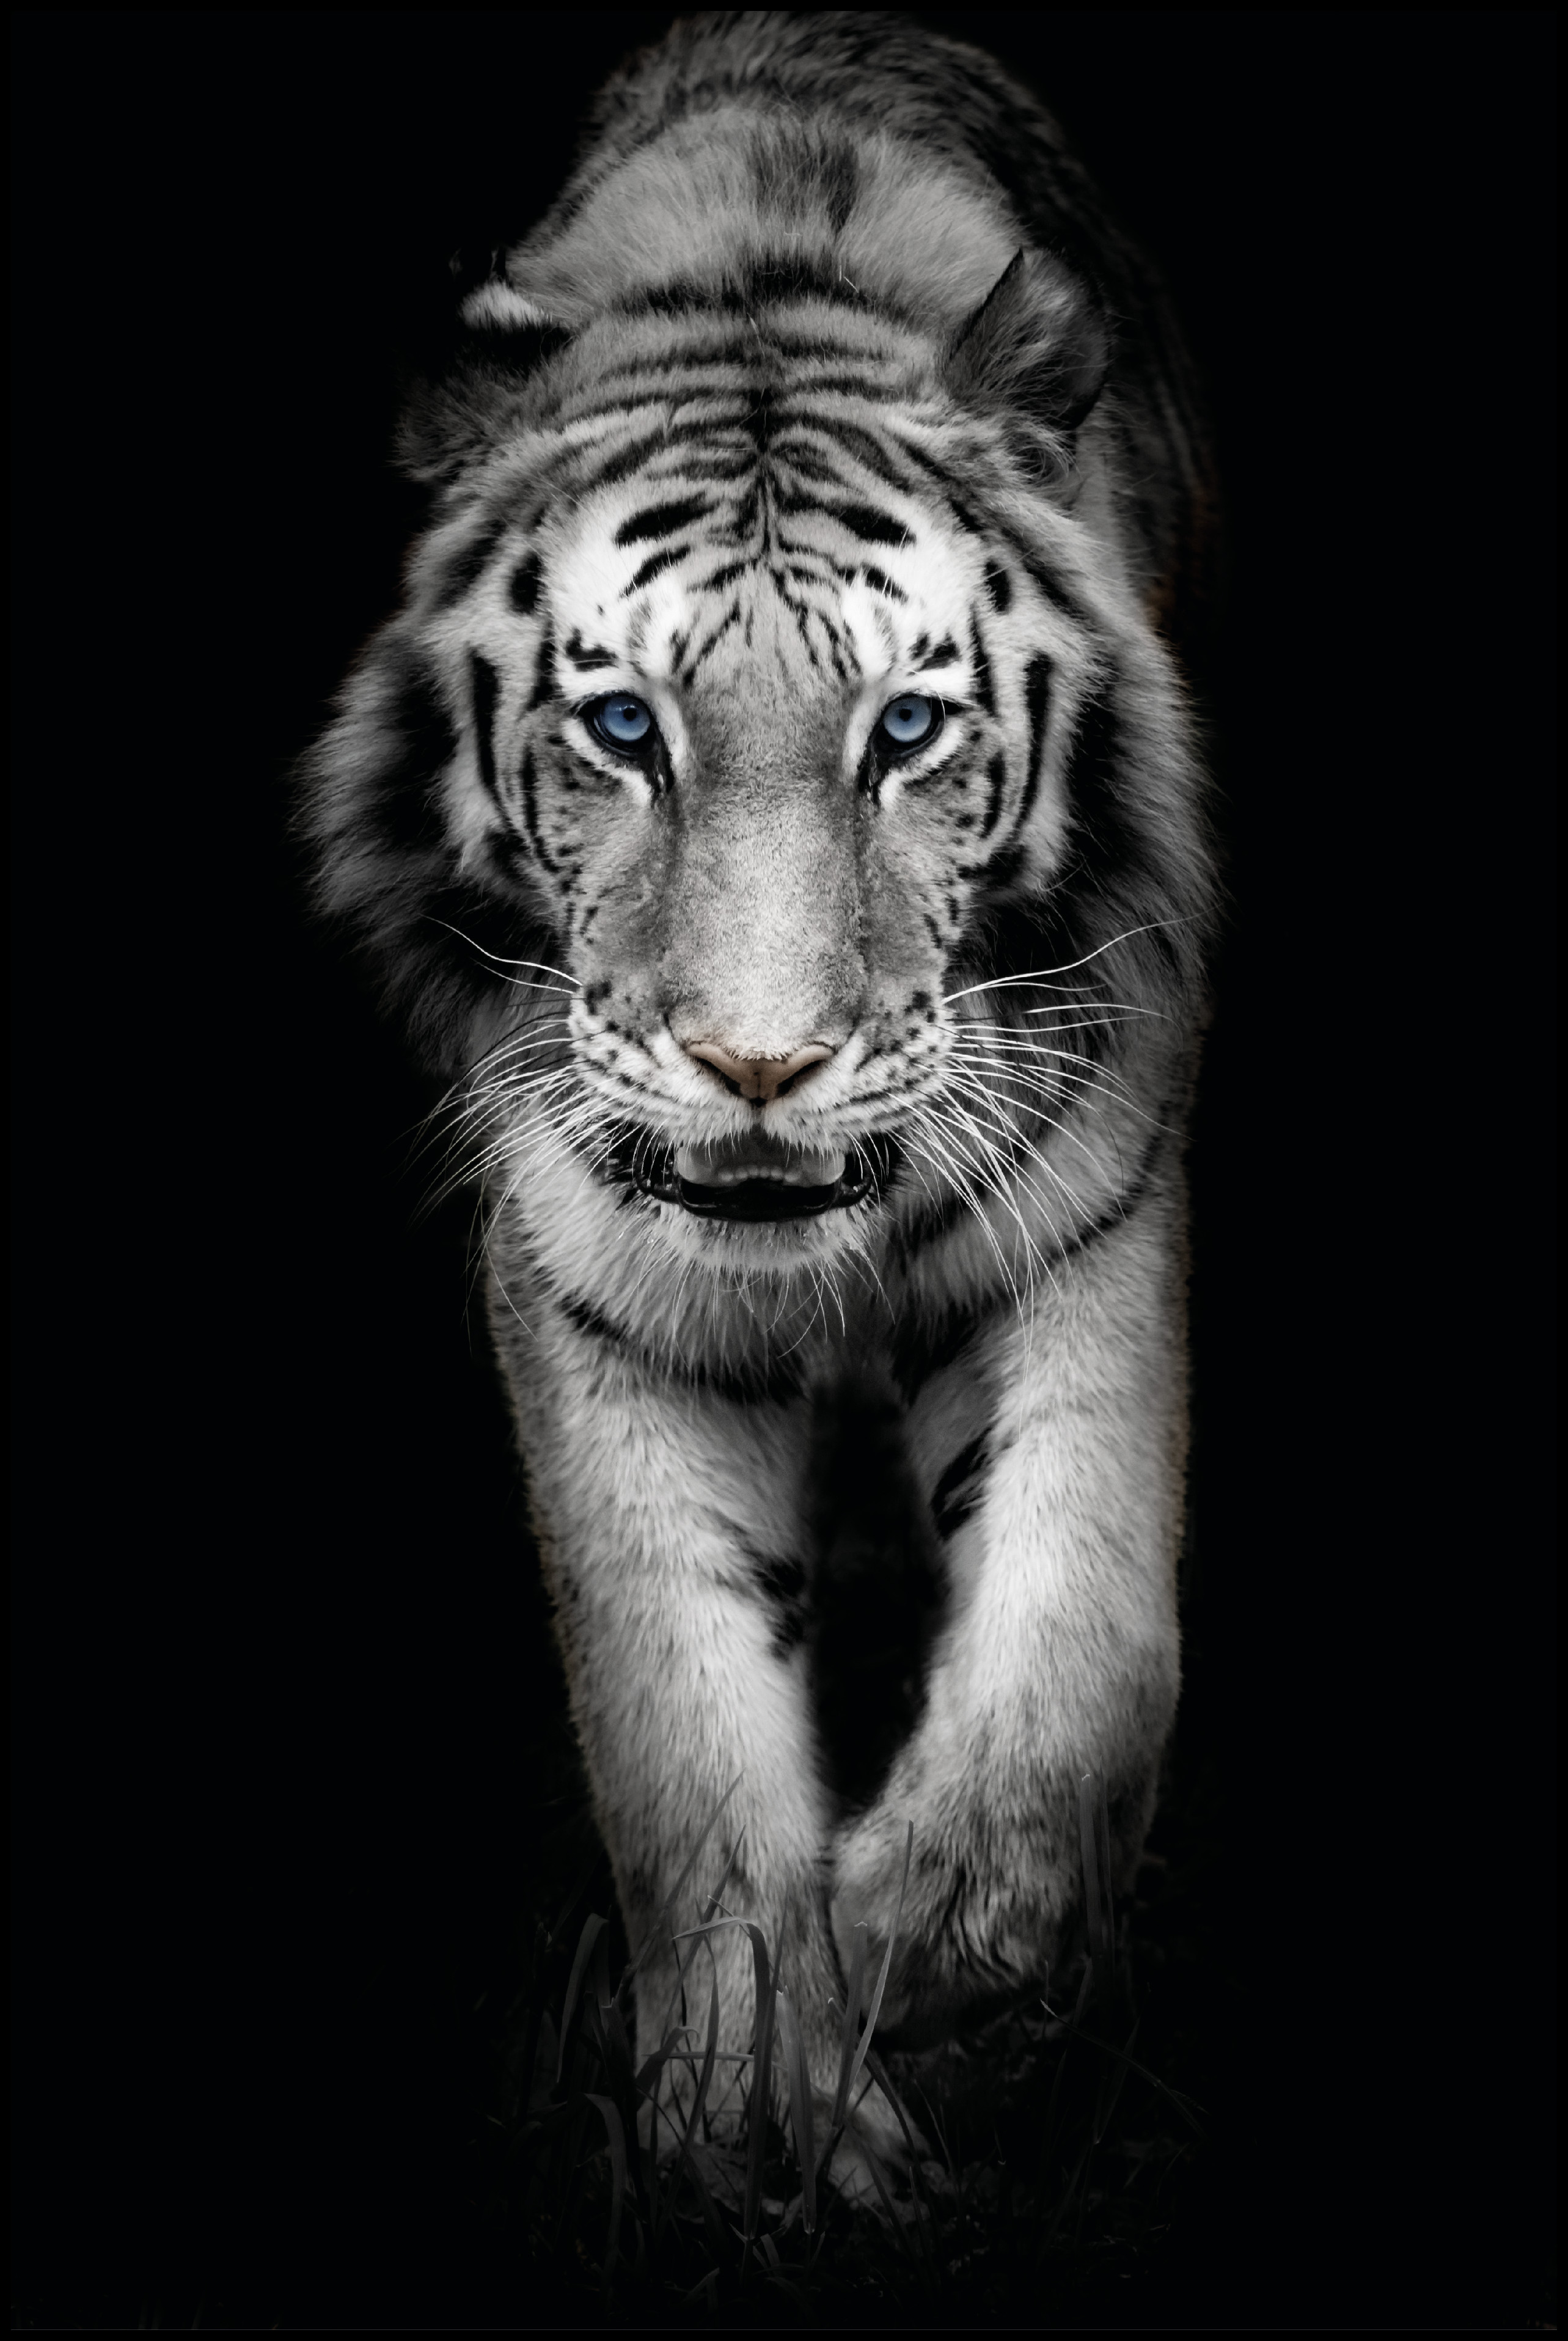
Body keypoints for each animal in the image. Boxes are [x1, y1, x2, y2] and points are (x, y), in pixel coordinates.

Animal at [302, 9, 1218, 2171]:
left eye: (908, 730)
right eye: (624, 725)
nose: (758, 1064)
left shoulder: (1091, 1197)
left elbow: (1084, 1624)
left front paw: (940, 1945)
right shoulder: (589, 1273)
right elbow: (668, 1705)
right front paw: (755, 2109)